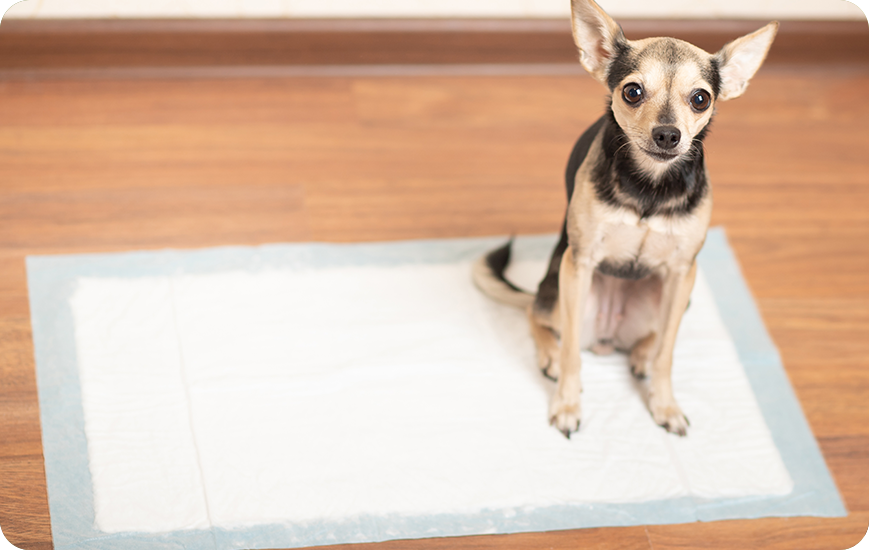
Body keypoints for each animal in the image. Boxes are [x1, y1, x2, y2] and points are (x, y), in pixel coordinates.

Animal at [474, 0, 780, 440]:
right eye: (632, 92)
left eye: (700, 99)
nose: (668, 134)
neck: (649, 186)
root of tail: (608, 336)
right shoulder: (579, 265)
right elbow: (571, 354)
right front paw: (567, 405)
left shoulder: (681, 272)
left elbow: (668, 352)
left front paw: (664, 404)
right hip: (560, 288)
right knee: (538, 315)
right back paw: (549, 354)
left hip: (677, 295)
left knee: (655, 336)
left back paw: (640, 354)